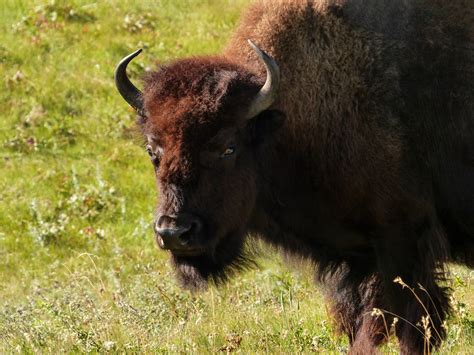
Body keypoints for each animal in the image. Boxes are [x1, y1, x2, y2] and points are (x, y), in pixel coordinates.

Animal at [115, 0, 474, 354]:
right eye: (152, 150)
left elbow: (407, 325)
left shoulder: (402, 237)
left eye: (228, 147)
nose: (174, 232)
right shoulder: (363, 260)